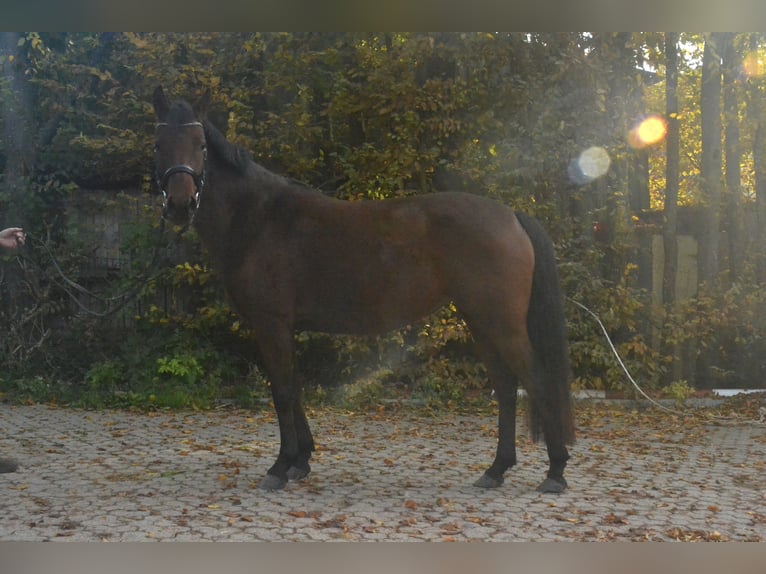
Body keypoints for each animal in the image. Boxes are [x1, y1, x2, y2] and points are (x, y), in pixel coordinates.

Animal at [153, 86, 572, 496]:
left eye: (200, 145)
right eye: (159, 145)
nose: (180, 204)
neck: (259, 218)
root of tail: (512, 215)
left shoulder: (270, 324)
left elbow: (282, 392)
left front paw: (280, 466)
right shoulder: (284, 328)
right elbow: (295, 387)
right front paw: (301, 460)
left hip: (501, 323)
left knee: (535, 380)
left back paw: (555, 471)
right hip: (479, 320)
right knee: (506, 386)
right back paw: (496, 469)